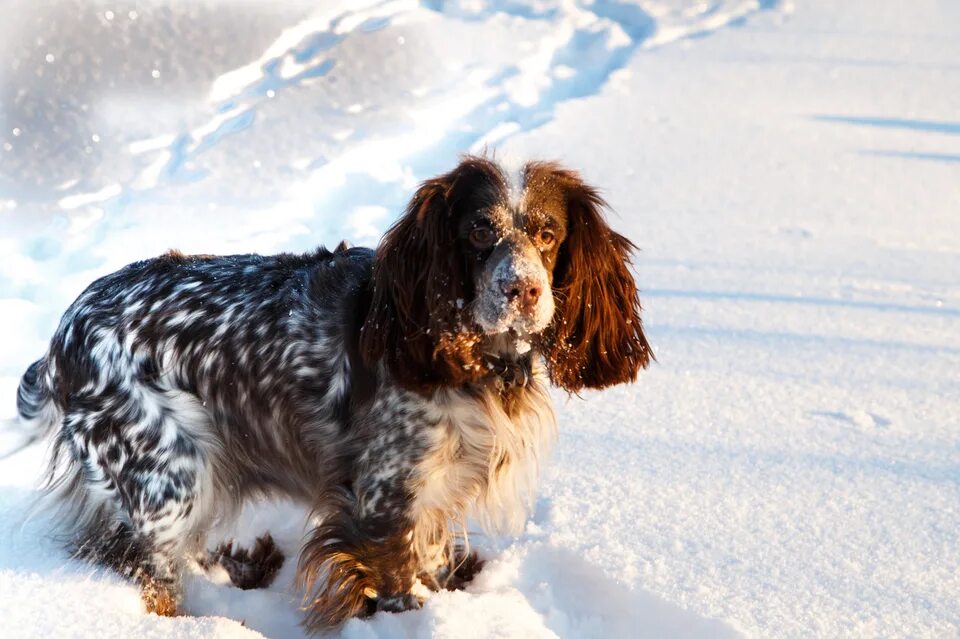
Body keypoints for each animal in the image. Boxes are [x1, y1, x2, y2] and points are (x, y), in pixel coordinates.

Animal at [16, 156, 652, 632]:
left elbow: (428, 561)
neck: (468, 357)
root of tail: (62, 336)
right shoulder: (381, 498)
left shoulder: (435, 489)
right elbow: (395, 585)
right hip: (169, 478)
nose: (521, 289)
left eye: (548, 233)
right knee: (149, 575)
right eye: (478, 230)